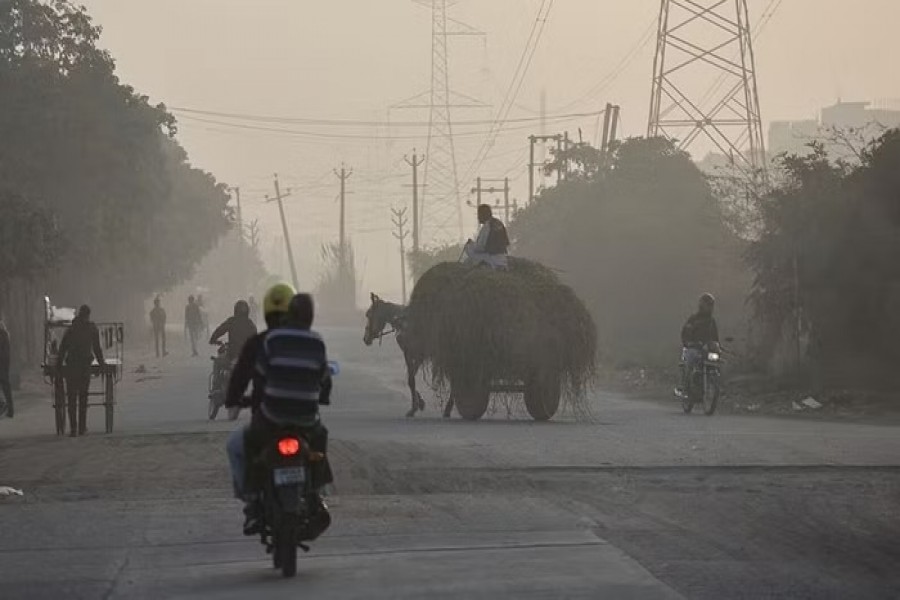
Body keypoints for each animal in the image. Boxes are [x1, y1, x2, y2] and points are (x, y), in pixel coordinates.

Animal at [362, 292, 454, 420]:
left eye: (368, 314)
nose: (365, 339)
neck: (405, 324)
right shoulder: (409, 354)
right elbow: (410, 379)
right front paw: (419, 403)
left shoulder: (419, 354)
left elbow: (411, 379)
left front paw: (415, 407)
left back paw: (447, 410)